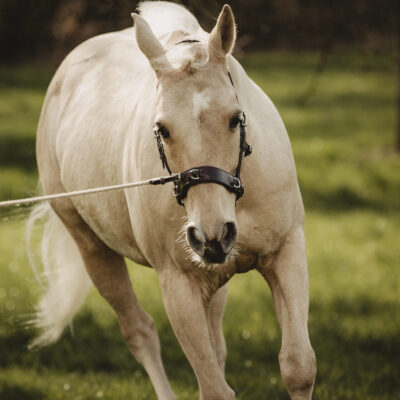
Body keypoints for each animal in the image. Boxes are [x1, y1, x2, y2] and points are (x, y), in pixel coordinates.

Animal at [30, 1, 316, 398]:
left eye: (235, 119)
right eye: (162, 129)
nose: (212, 235)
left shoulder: (286, 251)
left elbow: (298, 367)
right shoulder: (179, 285)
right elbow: (213, 388)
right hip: (92, 248)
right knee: (140, 332)